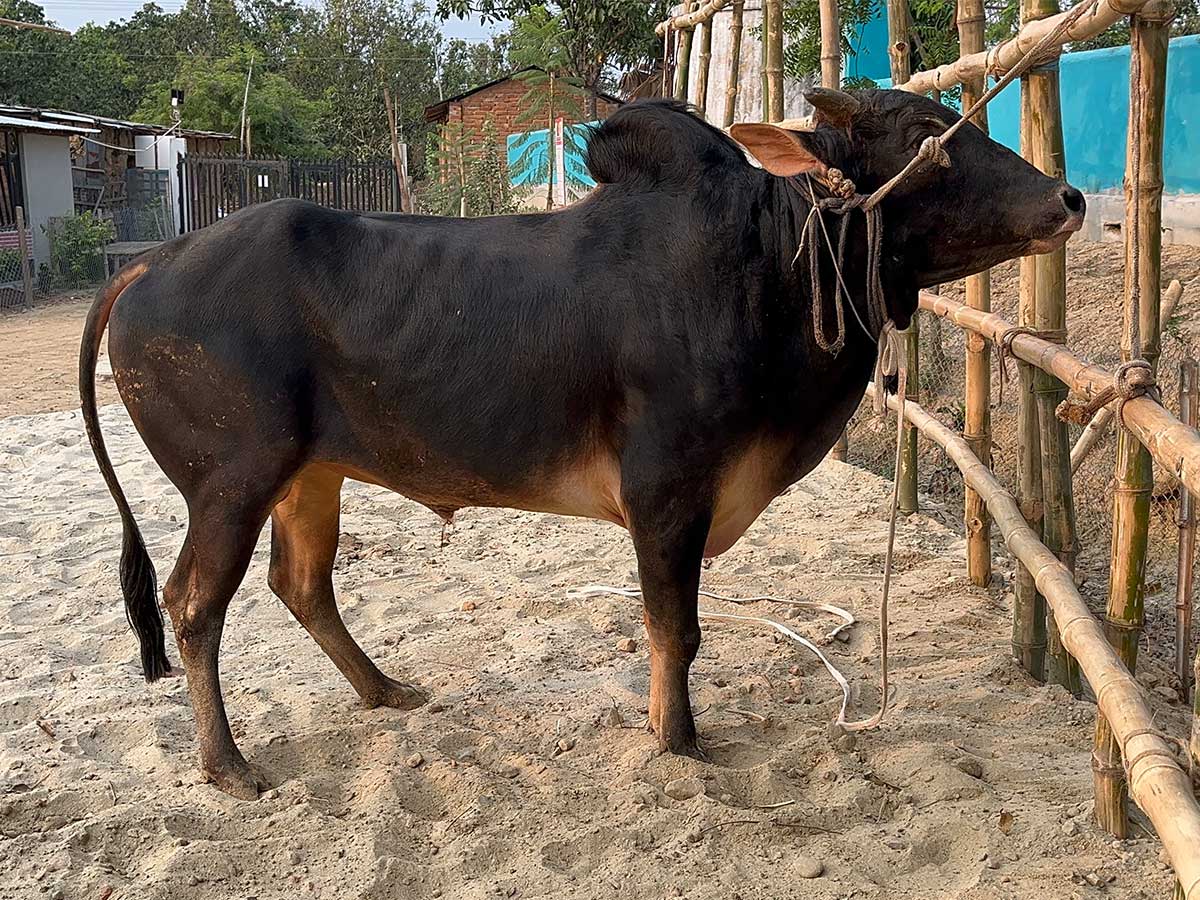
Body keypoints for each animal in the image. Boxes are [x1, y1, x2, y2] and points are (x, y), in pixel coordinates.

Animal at [80, 89, 1085, 799]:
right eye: (926, 133)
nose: (1068, 196)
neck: (767, 261)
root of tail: (150, 263)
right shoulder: (668, 491)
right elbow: (675, 630)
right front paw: (679, 741)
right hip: (230, 483)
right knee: (194, 605)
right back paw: (227, 764)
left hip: (309, 475)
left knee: (300, 585)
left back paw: (384, 691)